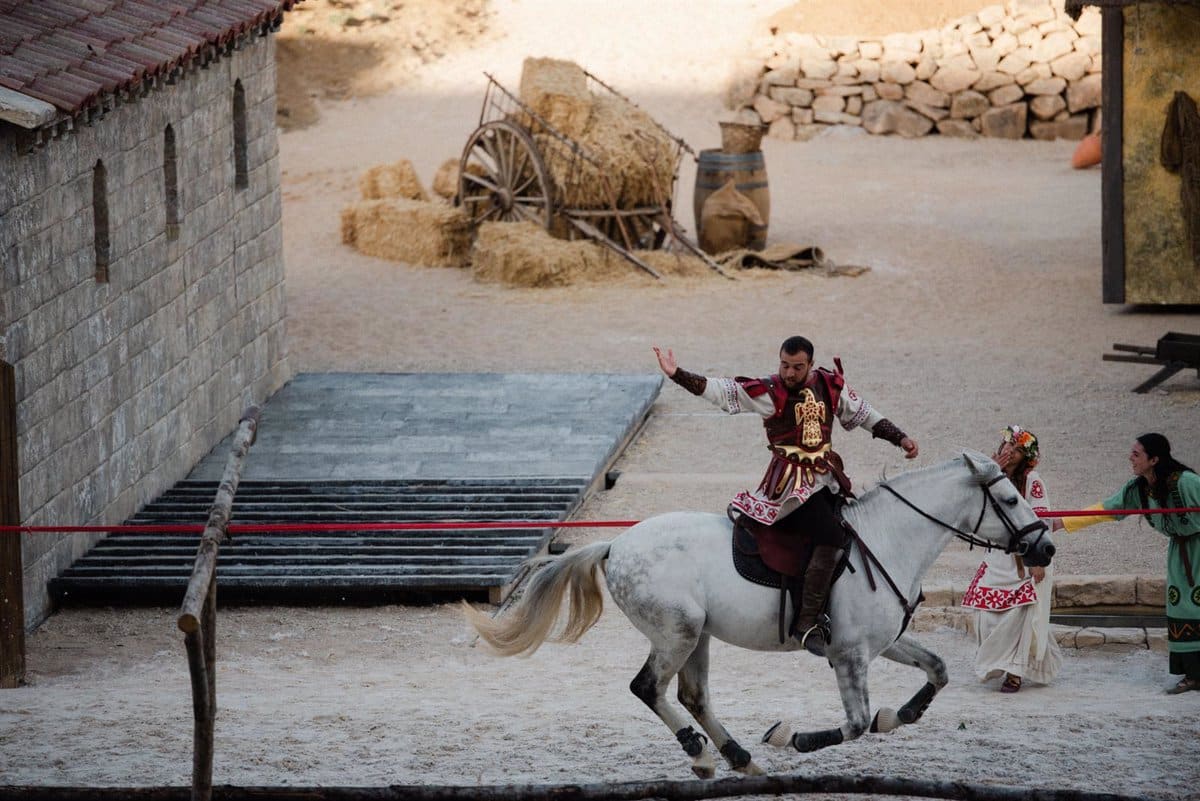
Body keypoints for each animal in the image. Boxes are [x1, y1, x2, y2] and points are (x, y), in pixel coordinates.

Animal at [463, 451, 1055, 778]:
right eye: (1008, 497)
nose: (1045, 548)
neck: (889, 538)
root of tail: (615, 545)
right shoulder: (849, 655)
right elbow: (854, 725)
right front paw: (791, 737)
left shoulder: (881, 643)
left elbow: (937, 670)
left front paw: (899, 715)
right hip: (677, 633)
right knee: (649, 688)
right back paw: (703, 756)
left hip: (697, 636)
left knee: (693, 696)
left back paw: (738, 756)